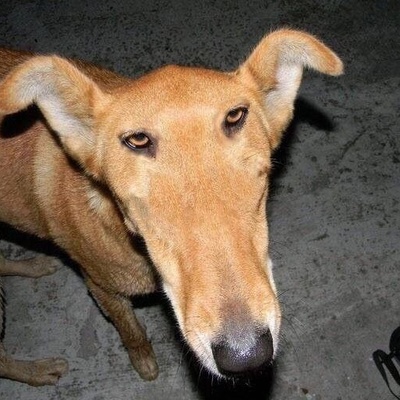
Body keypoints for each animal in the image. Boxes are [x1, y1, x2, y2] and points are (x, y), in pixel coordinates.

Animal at [0, 29, 343, 385]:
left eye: (235, 116)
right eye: (137, 140)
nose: (246, 355)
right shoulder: (102, 289)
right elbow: (132, 331)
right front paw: (144, 361)